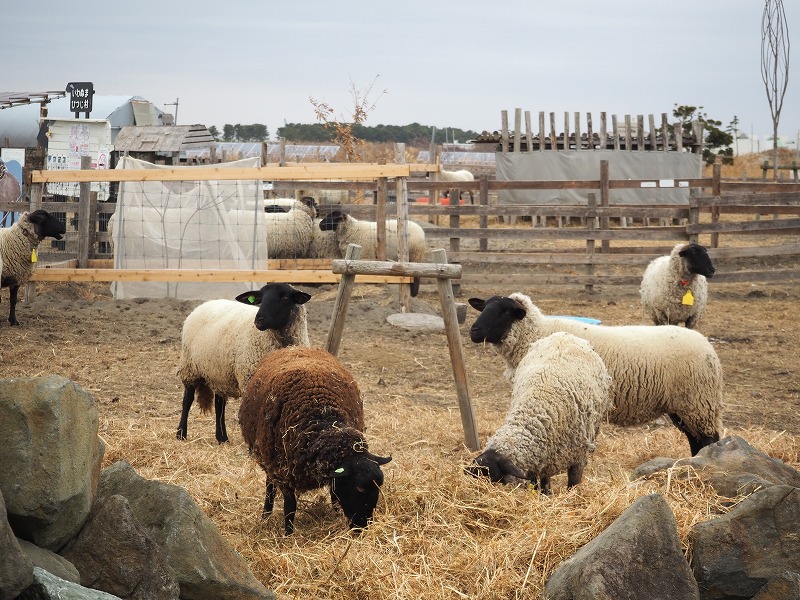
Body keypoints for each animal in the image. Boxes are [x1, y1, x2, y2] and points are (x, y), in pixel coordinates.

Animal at [177, 278, 310, 442]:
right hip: (189, 367)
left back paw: (222, 437)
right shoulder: (249, 380)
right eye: (261, 298)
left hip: (219, 372)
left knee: (219, 404)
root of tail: (206, 303)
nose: (259, 320)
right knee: (187, 400)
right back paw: (181, 433)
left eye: (285, 297)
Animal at [239, 344, 392, 536]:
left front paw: (336, 514)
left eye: (378, 488)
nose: (362, 527)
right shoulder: (284, 472)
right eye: (359, 489)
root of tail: (294, 347)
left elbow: (334, 494)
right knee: (270, 487)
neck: (323, 419)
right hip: (269, 460)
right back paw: (265, 515)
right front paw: (288, 534)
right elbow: (290, 507)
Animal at [468, 330, 612, 494]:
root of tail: (563, 334)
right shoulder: (538, 462)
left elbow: (573, 484)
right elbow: (538, 484)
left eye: (493, 478)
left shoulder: (579, 459)